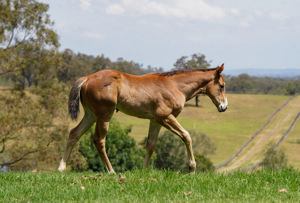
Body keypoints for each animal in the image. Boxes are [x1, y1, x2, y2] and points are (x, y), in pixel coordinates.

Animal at [58, 63, 227, 173]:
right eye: (222, 85)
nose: (224, 107)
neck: (175, 86)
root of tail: (86, 78)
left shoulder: (156, 121)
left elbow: (150, 145)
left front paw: (144, 171)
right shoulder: (165, 117)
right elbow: (186, 136)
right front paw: (192, 168)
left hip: (91, 115)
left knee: (74, 134)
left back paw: (61, 168)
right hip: (104, 115)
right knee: (99, 140)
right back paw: (111, 171)